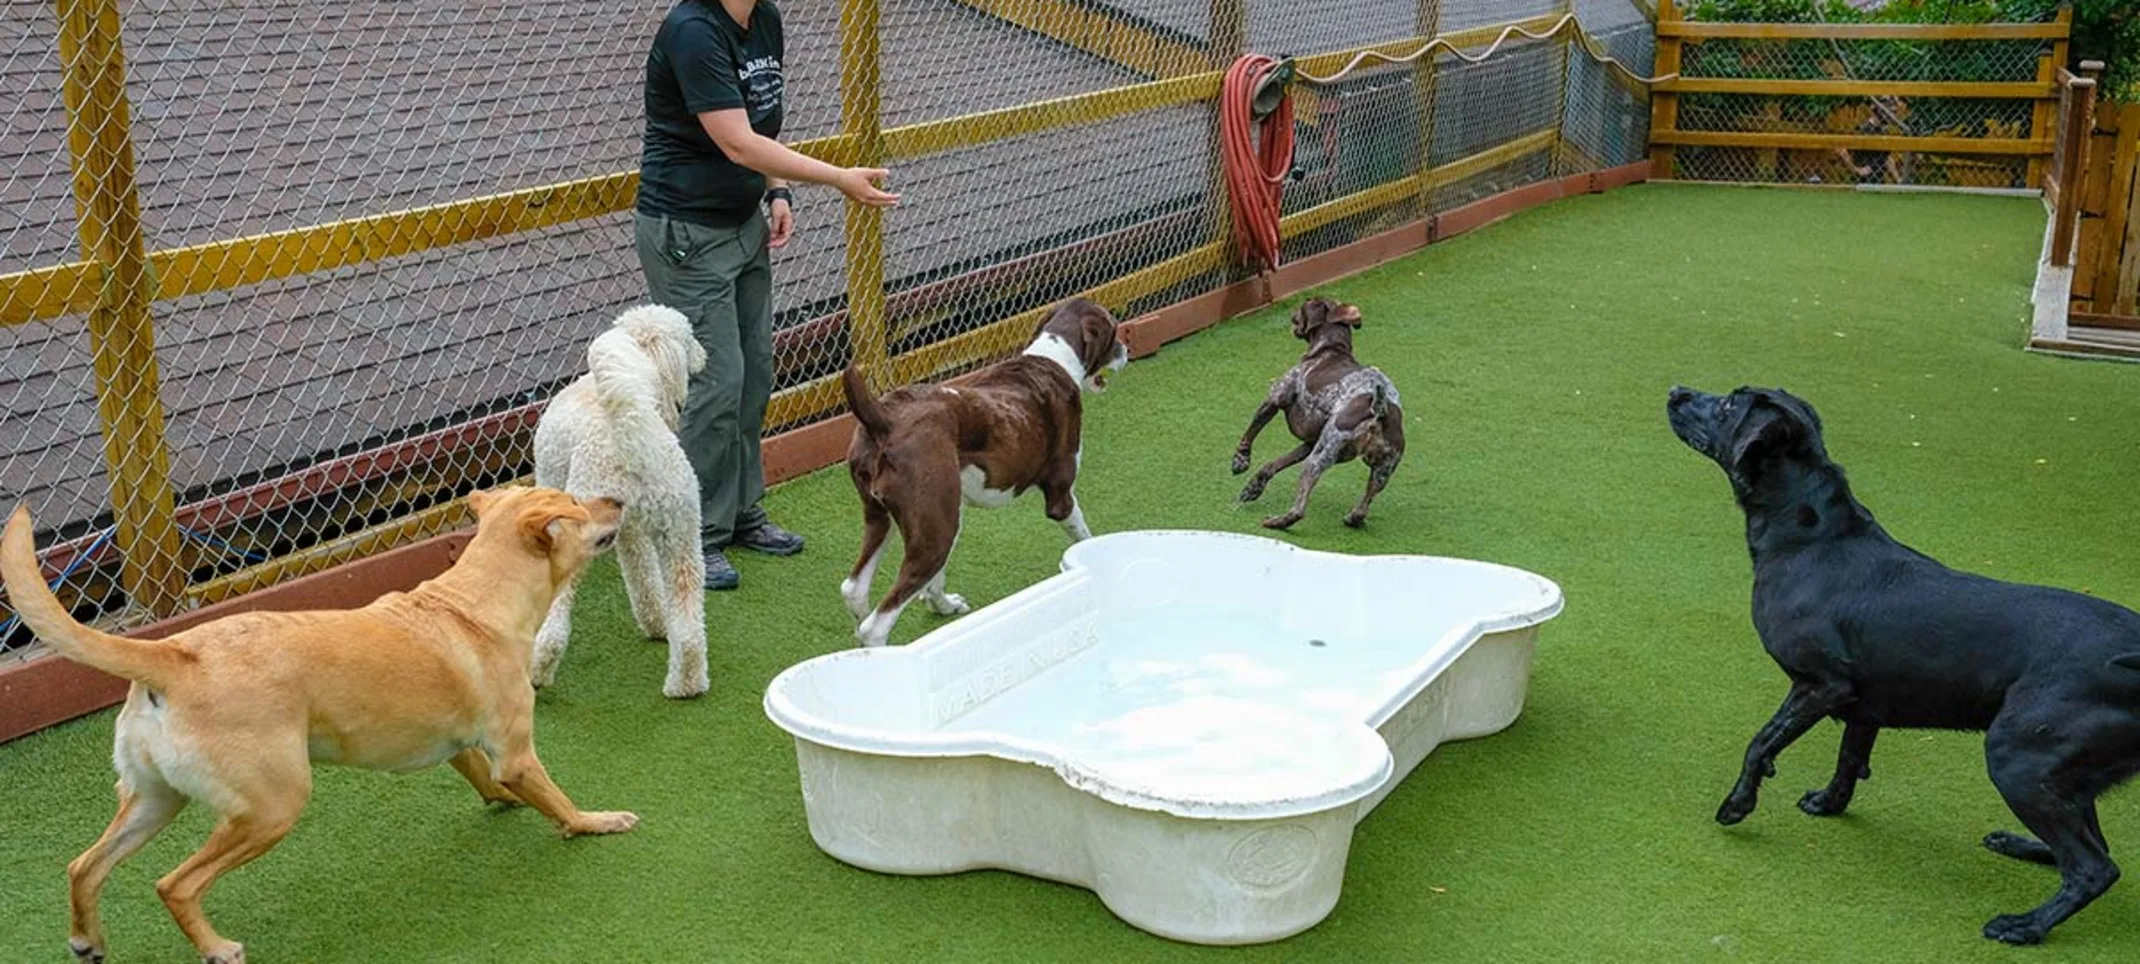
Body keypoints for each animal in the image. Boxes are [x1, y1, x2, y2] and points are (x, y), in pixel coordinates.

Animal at [0, 486, 633, 964]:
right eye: (575, 502)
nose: (619, 499)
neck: (471, 601)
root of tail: (175, 655)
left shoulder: (463, 746)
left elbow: (484, 775)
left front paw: (506, 802)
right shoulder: (518, 752)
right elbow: (556, 797)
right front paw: (594, 822)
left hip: (156, 799)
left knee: (84, 866)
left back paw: (87, 940)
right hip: (273, 806)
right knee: (174, 884)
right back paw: (216, 948)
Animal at [530, 304, 714, 698]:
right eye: (690, 338)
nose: (704, 354)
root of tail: (631, 438)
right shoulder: (632, 534)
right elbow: (644, 582)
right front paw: (657, 624)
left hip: (578, 540)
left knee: (556, 619)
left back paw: (537, 670)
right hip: (684, 537)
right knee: (689, 627)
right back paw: (686, 683)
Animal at [838, 299, 1129, 646]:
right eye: (1114, 329)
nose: (1127, 349)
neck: (1053, 359)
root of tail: (883, 419)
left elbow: (934, 583)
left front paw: (941, 605)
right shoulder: (1061, 495)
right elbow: (1084, 536)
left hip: (899, 518)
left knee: (854, 589)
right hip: (937, 532)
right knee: (876, 624)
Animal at [1232, 297, 1412, 531]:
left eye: (1307, 303)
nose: (1293, 313)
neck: (1331, 349)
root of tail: (1379, 411)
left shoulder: (1273, 400)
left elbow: (1249, 435)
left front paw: (1240, 461)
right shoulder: (1310, 443)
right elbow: (1272, 465)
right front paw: (1253, 487)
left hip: (1319, 458)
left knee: (1299, 510)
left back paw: (1277, 522)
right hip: (1381, 471)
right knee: (1362, 509)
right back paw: (1351, 518)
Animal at [1669, 381, 2140, 942]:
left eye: (1727, 405)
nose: (1676, 390)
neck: (1811, 539)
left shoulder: (1820, 684)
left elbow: (1760, 743)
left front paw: (1738, 805)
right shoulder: (1863, 703)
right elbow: (1849, 758)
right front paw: (1829, 804)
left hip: (2021, 755)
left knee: (2093, 868)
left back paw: (2025, 926)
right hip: (2062, 772)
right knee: (2088, 851)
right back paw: (2021, 847)